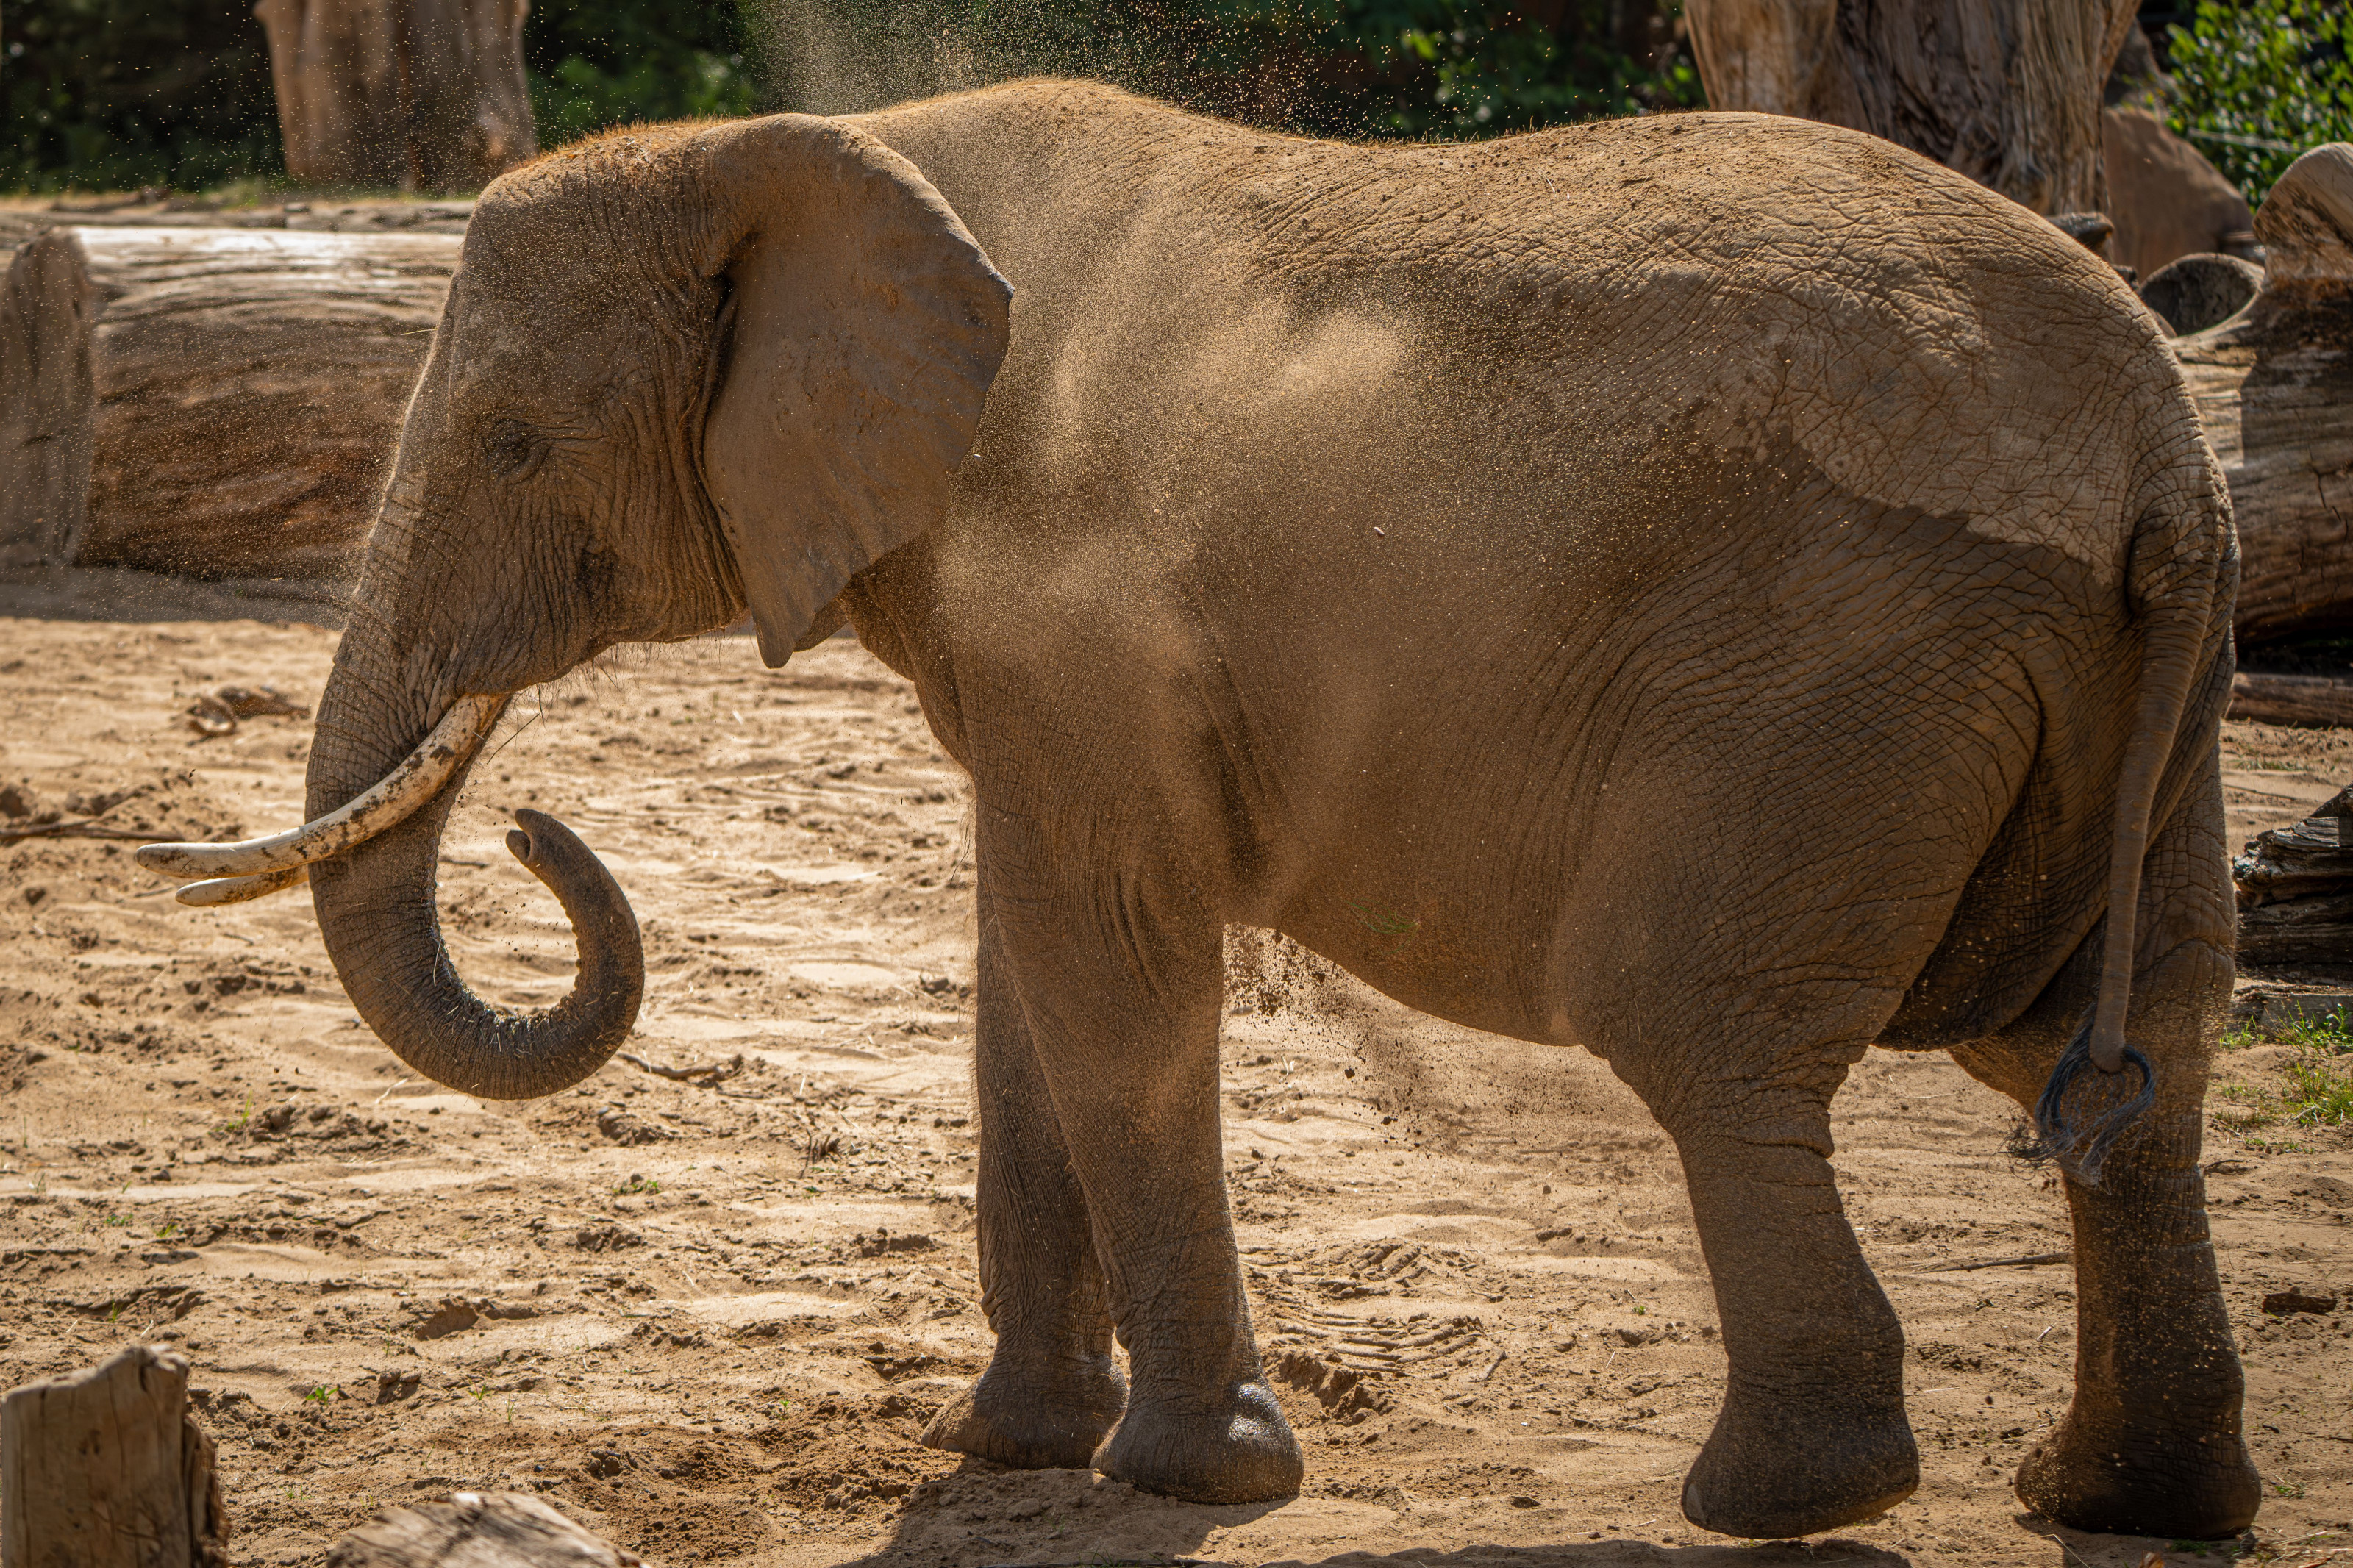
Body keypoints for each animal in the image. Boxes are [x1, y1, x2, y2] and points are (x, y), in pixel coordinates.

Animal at [141, 79, 2260, 1542]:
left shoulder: (1075, 590)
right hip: (2133, 699)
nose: (533, 833)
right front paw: (1011, 1441)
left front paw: (1188, 1476)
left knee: (1700, 1030)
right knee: (2127, 1055)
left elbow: (1107, 983)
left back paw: (1776, 1496)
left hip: (1824, 671)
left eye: (514, 443)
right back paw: (2111, 1500)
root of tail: (2162, 445)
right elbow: (1024, 987)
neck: (831, 154)